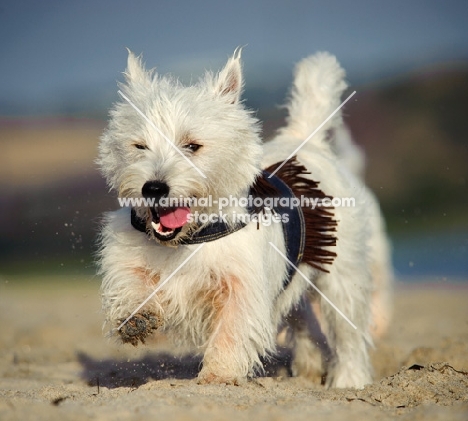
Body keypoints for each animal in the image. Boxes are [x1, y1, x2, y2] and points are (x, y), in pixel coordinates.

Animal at [98, 48, 392, 388]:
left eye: (192, 145)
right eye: (140, 145)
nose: (153, 188)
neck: (191, 237)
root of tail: (307, 141)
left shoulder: (243, 283)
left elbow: (232, 329)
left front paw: (218, 375)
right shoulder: (131, 253)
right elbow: (131, 280)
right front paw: (136, 318)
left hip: (341, 273)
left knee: (348, 332)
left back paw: (348, 381)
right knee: (303, 317)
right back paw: (308, 367)